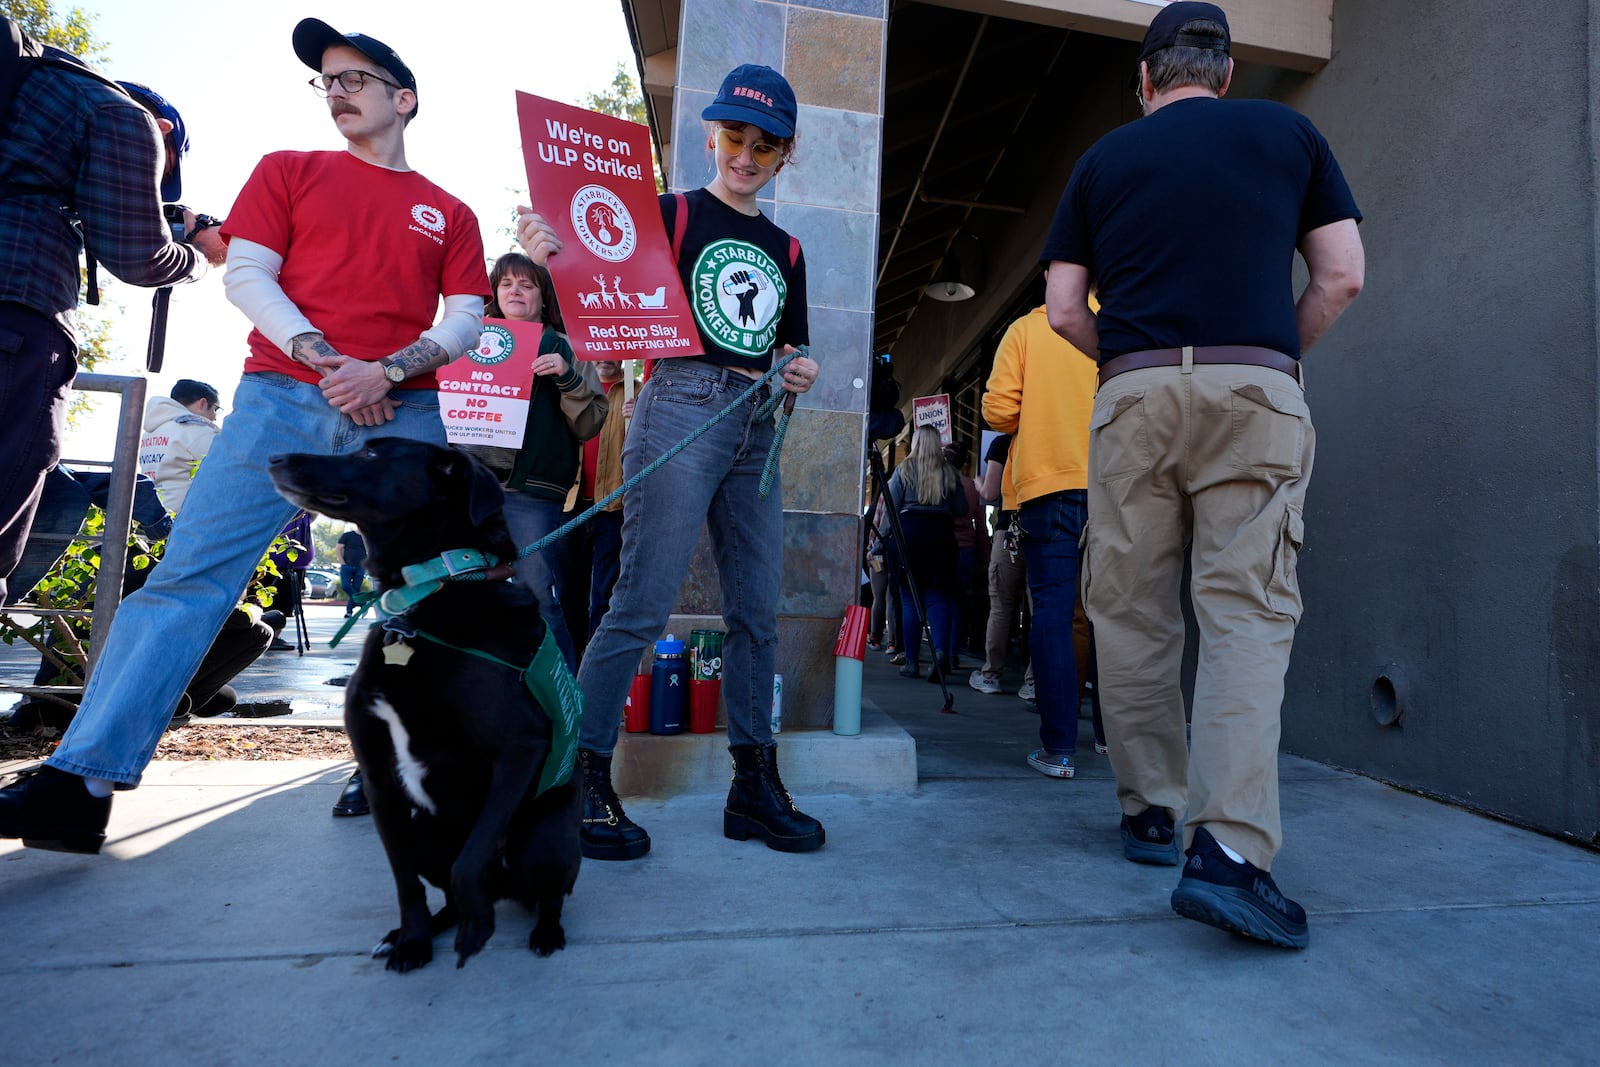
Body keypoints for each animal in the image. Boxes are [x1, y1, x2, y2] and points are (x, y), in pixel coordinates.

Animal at [268, 438, 582, 972]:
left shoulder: (522, 748)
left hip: (544, 836)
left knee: (547, 894)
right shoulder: (379, 777)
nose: (274, 458)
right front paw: (413, 938)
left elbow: (470, 859)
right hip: (424, 833)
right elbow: (405, 882)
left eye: (374, 455)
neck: (431, 589)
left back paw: (544, 931)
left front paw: (476, 927)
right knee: (446, 891)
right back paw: (428, 927)